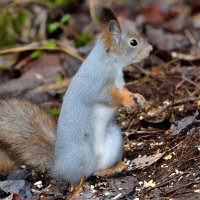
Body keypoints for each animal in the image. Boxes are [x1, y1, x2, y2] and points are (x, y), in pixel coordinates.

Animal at [0, 7, 152, 184]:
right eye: (133, 42)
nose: (151, 49)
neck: (110, 63)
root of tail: (57, 167)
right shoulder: (96, 87)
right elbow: (110, 97)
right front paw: (127, 101)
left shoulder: (119, 83)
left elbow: (125, 90)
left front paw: (138, 97)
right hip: (83, 155)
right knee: (87, 174)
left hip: (113, 140)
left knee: (97, 168)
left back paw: (114, 168)